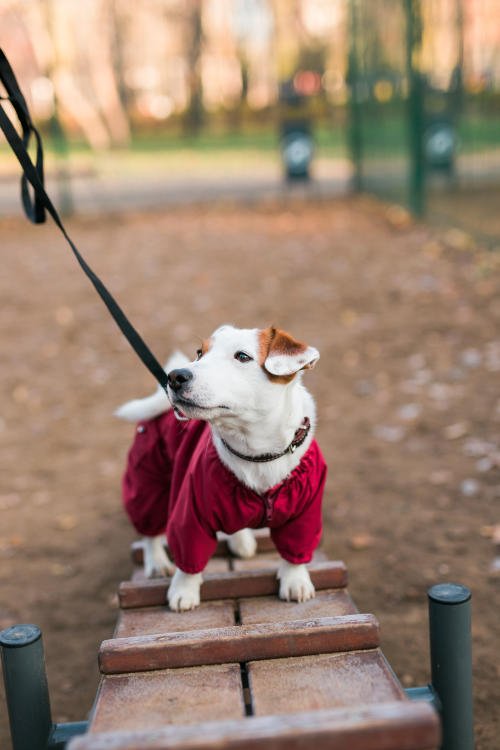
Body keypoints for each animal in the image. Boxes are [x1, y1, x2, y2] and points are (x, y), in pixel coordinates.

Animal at [116, 326, 328, 612]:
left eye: (242, 356)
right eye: (199, 353)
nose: (175, 377)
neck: (257, 454)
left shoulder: (305, 512)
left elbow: (295, 550)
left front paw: (295, 580)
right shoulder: (190, 513)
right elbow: (188, 557)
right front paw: (184, 590)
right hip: (148, 480)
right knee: (150, 530)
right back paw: (157, 561)